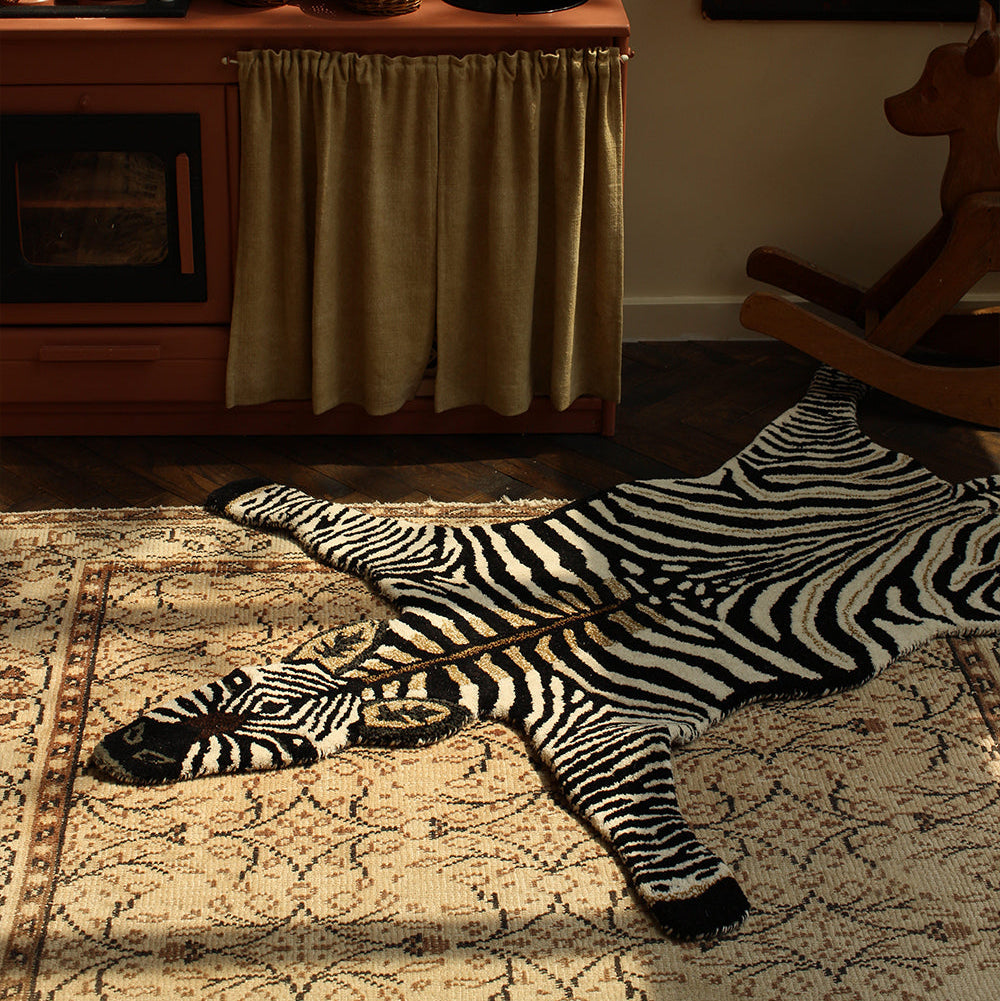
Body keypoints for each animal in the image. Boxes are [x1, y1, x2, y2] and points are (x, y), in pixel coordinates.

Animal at [91, 367, 1000, 940]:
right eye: (228, 683)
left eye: (277, 738)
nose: (118, 751)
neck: (478, 642)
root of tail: (945, 495)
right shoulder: (433, 570)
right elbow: (334, 521)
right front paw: (244, 493)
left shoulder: (598, 722)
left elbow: (630, 809)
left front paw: (701, 903)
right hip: (797, 459)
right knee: (829, 409)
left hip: (944, 565)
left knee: (833, 402)